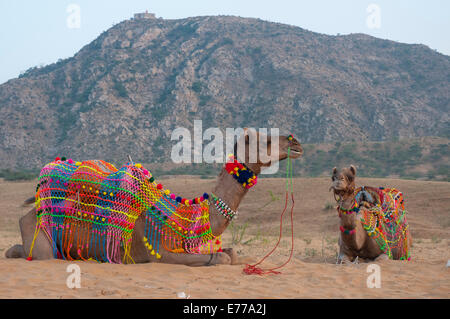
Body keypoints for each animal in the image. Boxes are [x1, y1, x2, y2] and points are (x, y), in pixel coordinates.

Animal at [5, 130, 302, 268]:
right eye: (265, 142)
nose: (295, 141)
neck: (186, 217)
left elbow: (232, 252)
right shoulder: (160, 253)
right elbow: (220, 257)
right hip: (42, 240)